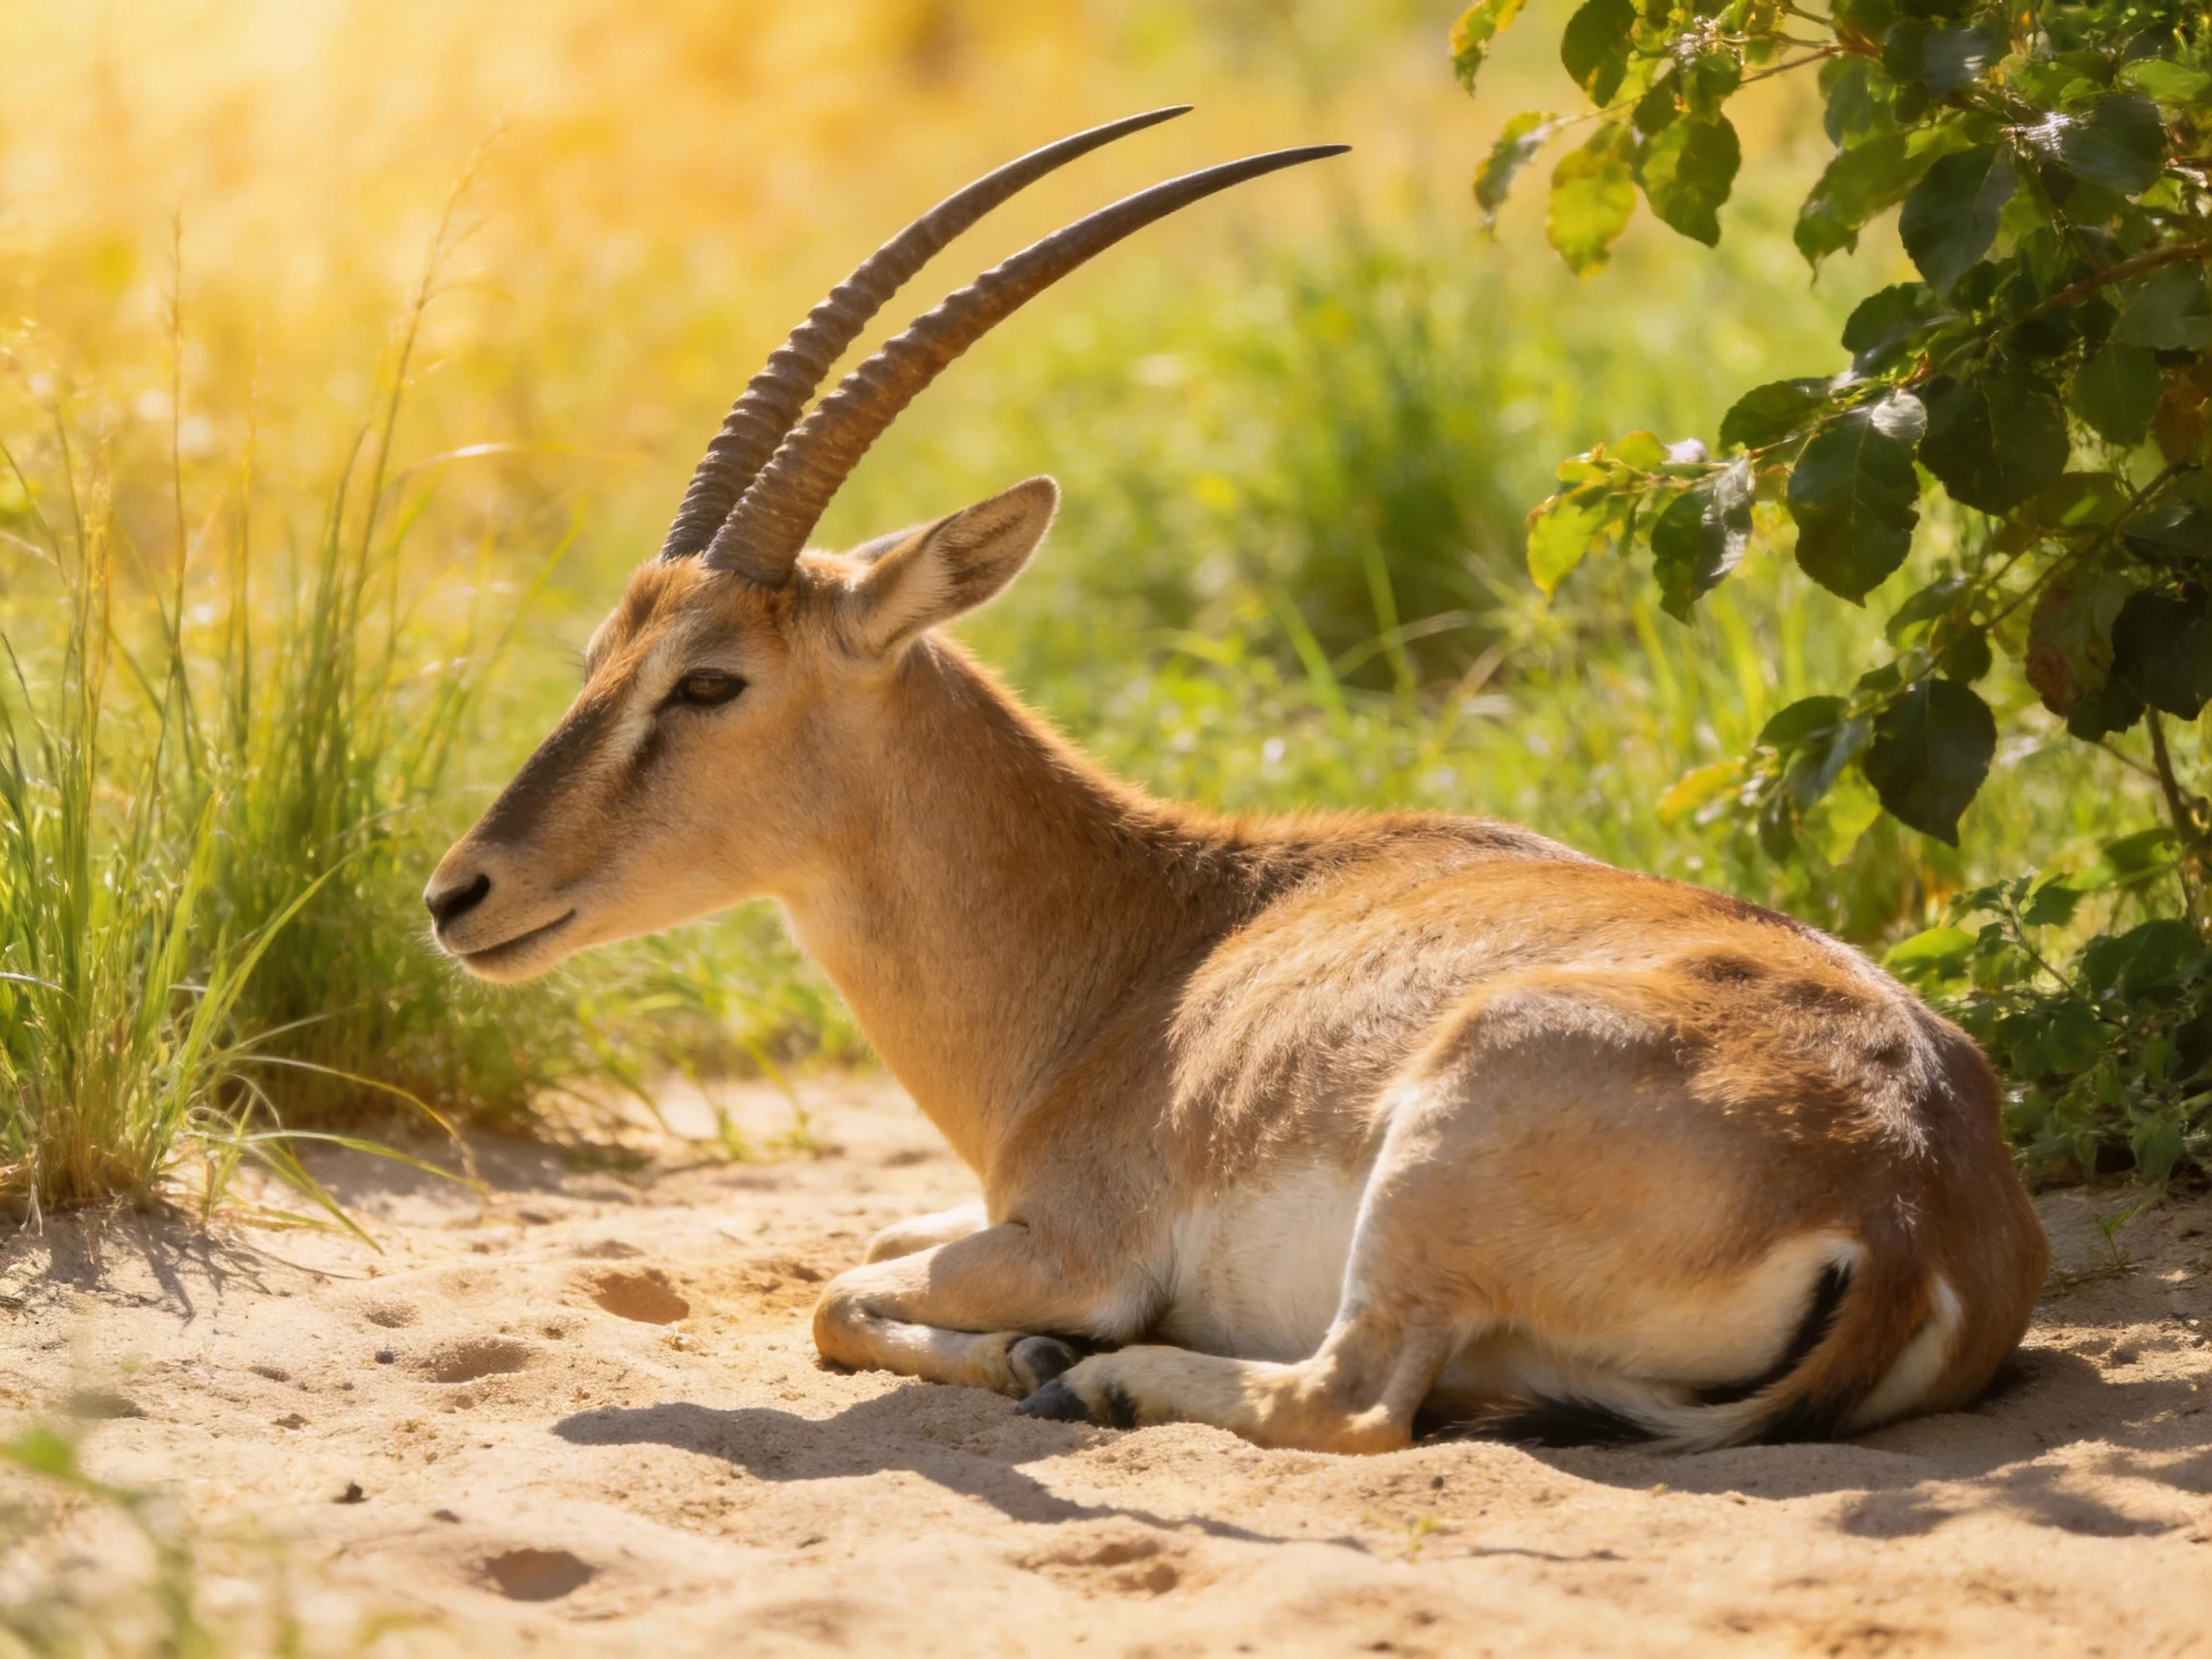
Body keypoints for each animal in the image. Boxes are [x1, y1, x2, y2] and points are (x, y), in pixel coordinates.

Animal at [426, 109, 2048, 1455]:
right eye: (602, 651)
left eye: (709, 679)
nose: (459, 894)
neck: (1147, 942)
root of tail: (1907, 1191)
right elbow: (854, 1260)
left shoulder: (1068, 1243)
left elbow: (832, 1295)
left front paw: (1040, 1355)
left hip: (1426, 1176)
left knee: (1351, 1403)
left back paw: (1099, 1381)